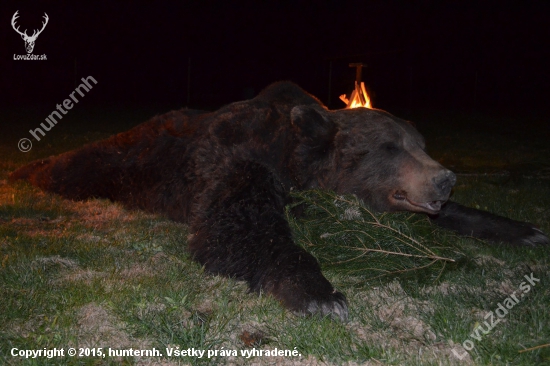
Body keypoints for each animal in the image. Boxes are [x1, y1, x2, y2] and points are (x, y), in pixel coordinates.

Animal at [10, 82, 548, 320]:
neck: (292, 157)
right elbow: (240, 231)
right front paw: (320, 294)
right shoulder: (239, 167)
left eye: (421, 143)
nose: (444, 178)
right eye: (389, 147)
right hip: (108, 164)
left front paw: (525, 229)